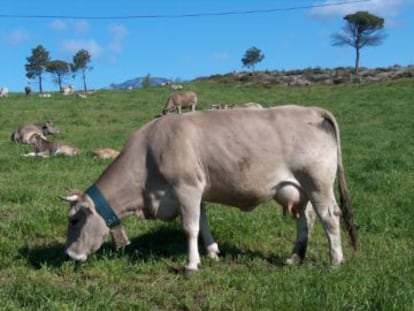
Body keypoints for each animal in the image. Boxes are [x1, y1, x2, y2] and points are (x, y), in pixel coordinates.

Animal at [59, 106, 358, 272]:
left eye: (74, 220)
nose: (69, 254)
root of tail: (312, 110)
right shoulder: (195, 193)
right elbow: (203, 223)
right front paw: (213, 252)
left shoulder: (187, 188)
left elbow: (190, 228)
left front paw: (192, 265)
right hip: (300, 189)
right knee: (305, 219)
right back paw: (295, 257)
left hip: (317, 183)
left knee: (329, 217)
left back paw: (335, 261)